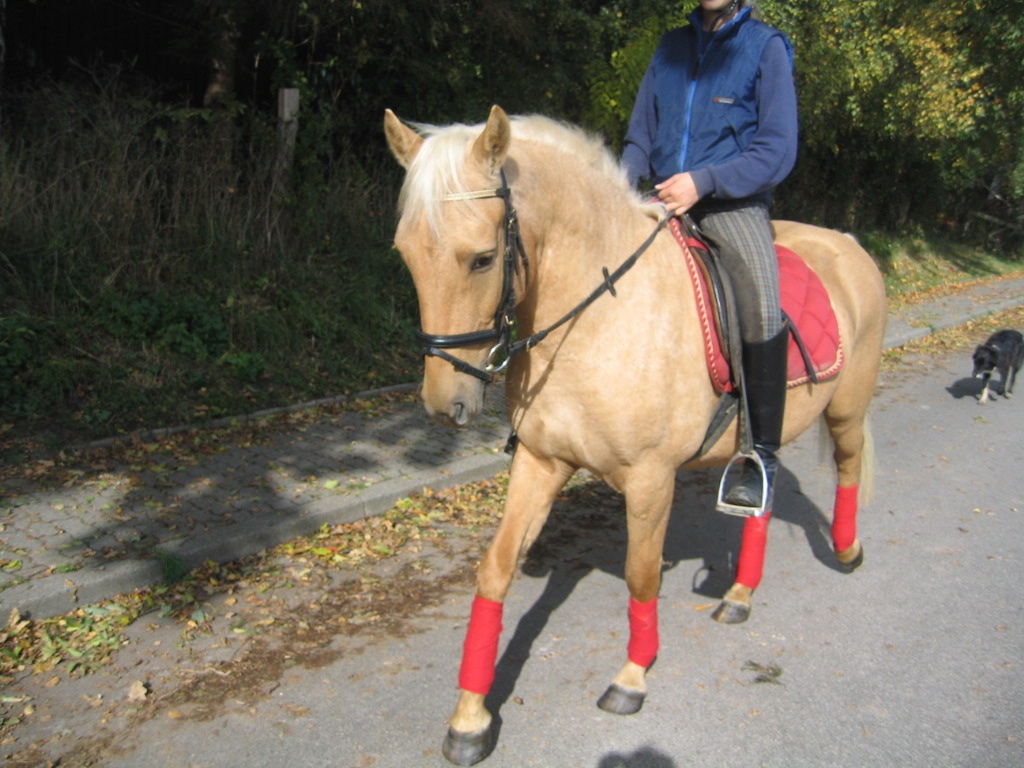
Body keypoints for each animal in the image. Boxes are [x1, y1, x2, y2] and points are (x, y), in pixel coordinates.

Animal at [384, 105, 886, 765]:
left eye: (482, 259)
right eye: (405, 256)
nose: (447, 406)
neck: (597, 316)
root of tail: (848, 244)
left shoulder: (651, 479)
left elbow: (641, 574)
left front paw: (631, 678)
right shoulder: (541, 462)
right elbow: (495, 570)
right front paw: (470, 717)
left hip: (847, 410)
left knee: (848, 465)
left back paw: (846, 553)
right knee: (765, 485)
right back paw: (739, 595)